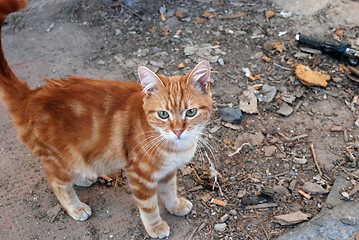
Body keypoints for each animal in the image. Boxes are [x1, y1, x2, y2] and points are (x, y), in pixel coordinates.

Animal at [0, 0, 212, 238]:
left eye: (191, 112)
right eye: (163, 114)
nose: (178, 131)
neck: (173, 146)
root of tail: (29, 95)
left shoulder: (167, 172)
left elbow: (169, 191)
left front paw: (175, 205)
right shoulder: (139, 175)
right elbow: (149, 206)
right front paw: (155, 226)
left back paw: (84, 177)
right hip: (62, 157)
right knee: (57, 181)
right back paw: (75, 206)